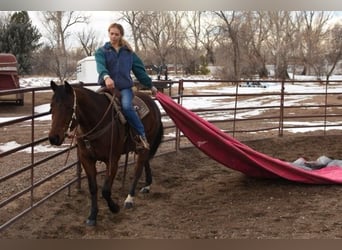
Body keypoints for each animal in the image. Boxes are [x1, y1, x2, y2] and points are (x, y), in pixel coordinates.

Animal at [48, 81, 164, 226]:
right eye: (51, 106)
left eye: (69, 107)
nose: (53, 138)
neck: (96, 122)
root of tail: (152, 103)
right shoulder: (86, 159)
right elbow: (93, 188)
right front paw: (92, 216)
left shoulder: (112, 160)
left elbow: (106, 190)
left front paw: (114, 208)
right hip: (141, 147)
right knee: (145, 162)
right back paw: (147, 185)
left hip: (145, 143)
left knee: (138, 169)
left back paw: (130, 199)